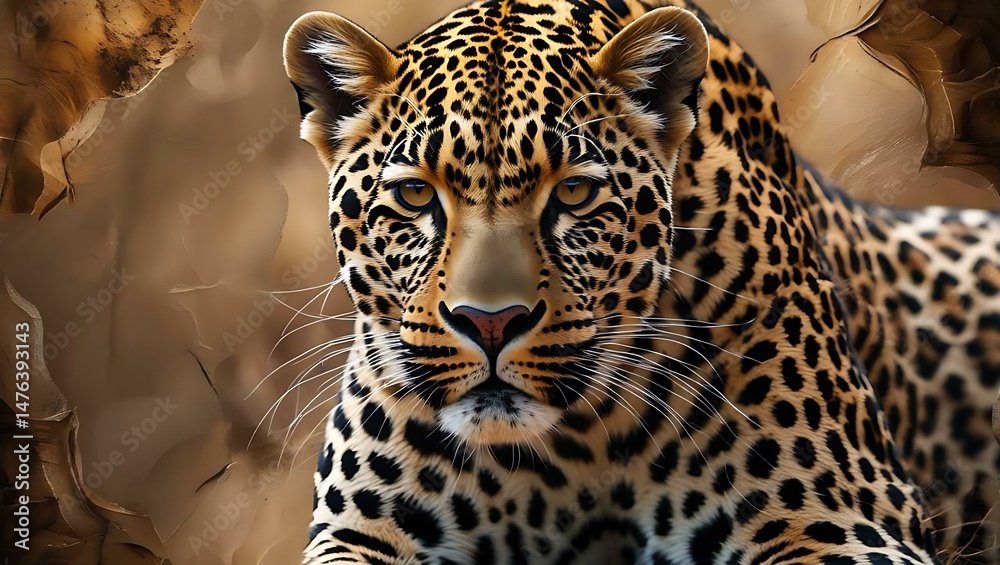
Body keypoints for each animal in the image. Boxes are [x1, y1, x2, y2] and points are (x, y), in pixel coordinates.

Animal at [282, 0, 1000, 563]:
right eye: (414, 195)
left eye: (573, 192)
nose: (491, 323)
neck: (569, 449)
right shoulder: (360, 530)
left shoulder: (842, 517)